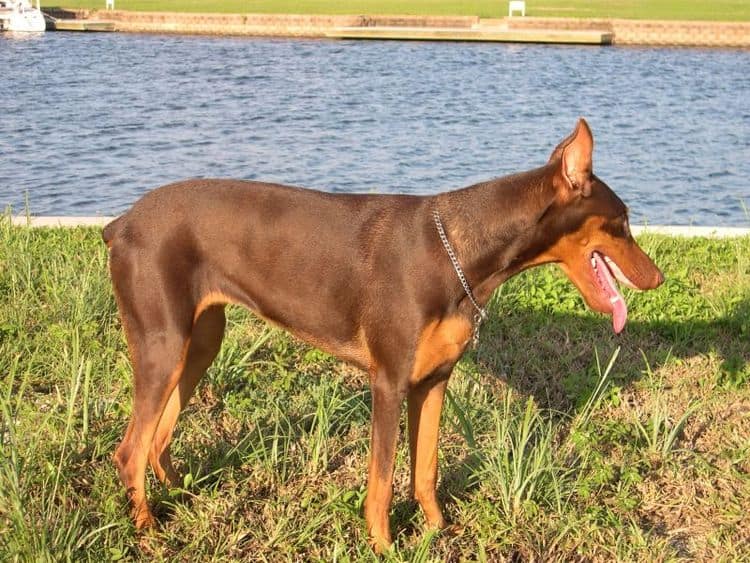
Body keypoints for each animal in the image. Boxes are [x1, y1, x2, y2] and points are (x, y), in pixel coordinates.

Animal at [104, 118, 664, 552]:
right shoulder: (388, 382)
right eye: (622, 222)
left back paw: (183, 499)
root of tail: (121, 223)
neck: (458, 253)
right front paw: (384, 545)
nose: (657, 279)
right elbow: (381, 478)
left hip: (199, 343)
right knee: (129, 451)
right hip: (162, 345)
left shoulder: (433, 381)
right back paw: (149, 530)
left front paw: (438, 532)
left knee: (156, 440)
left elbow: (426, 469)